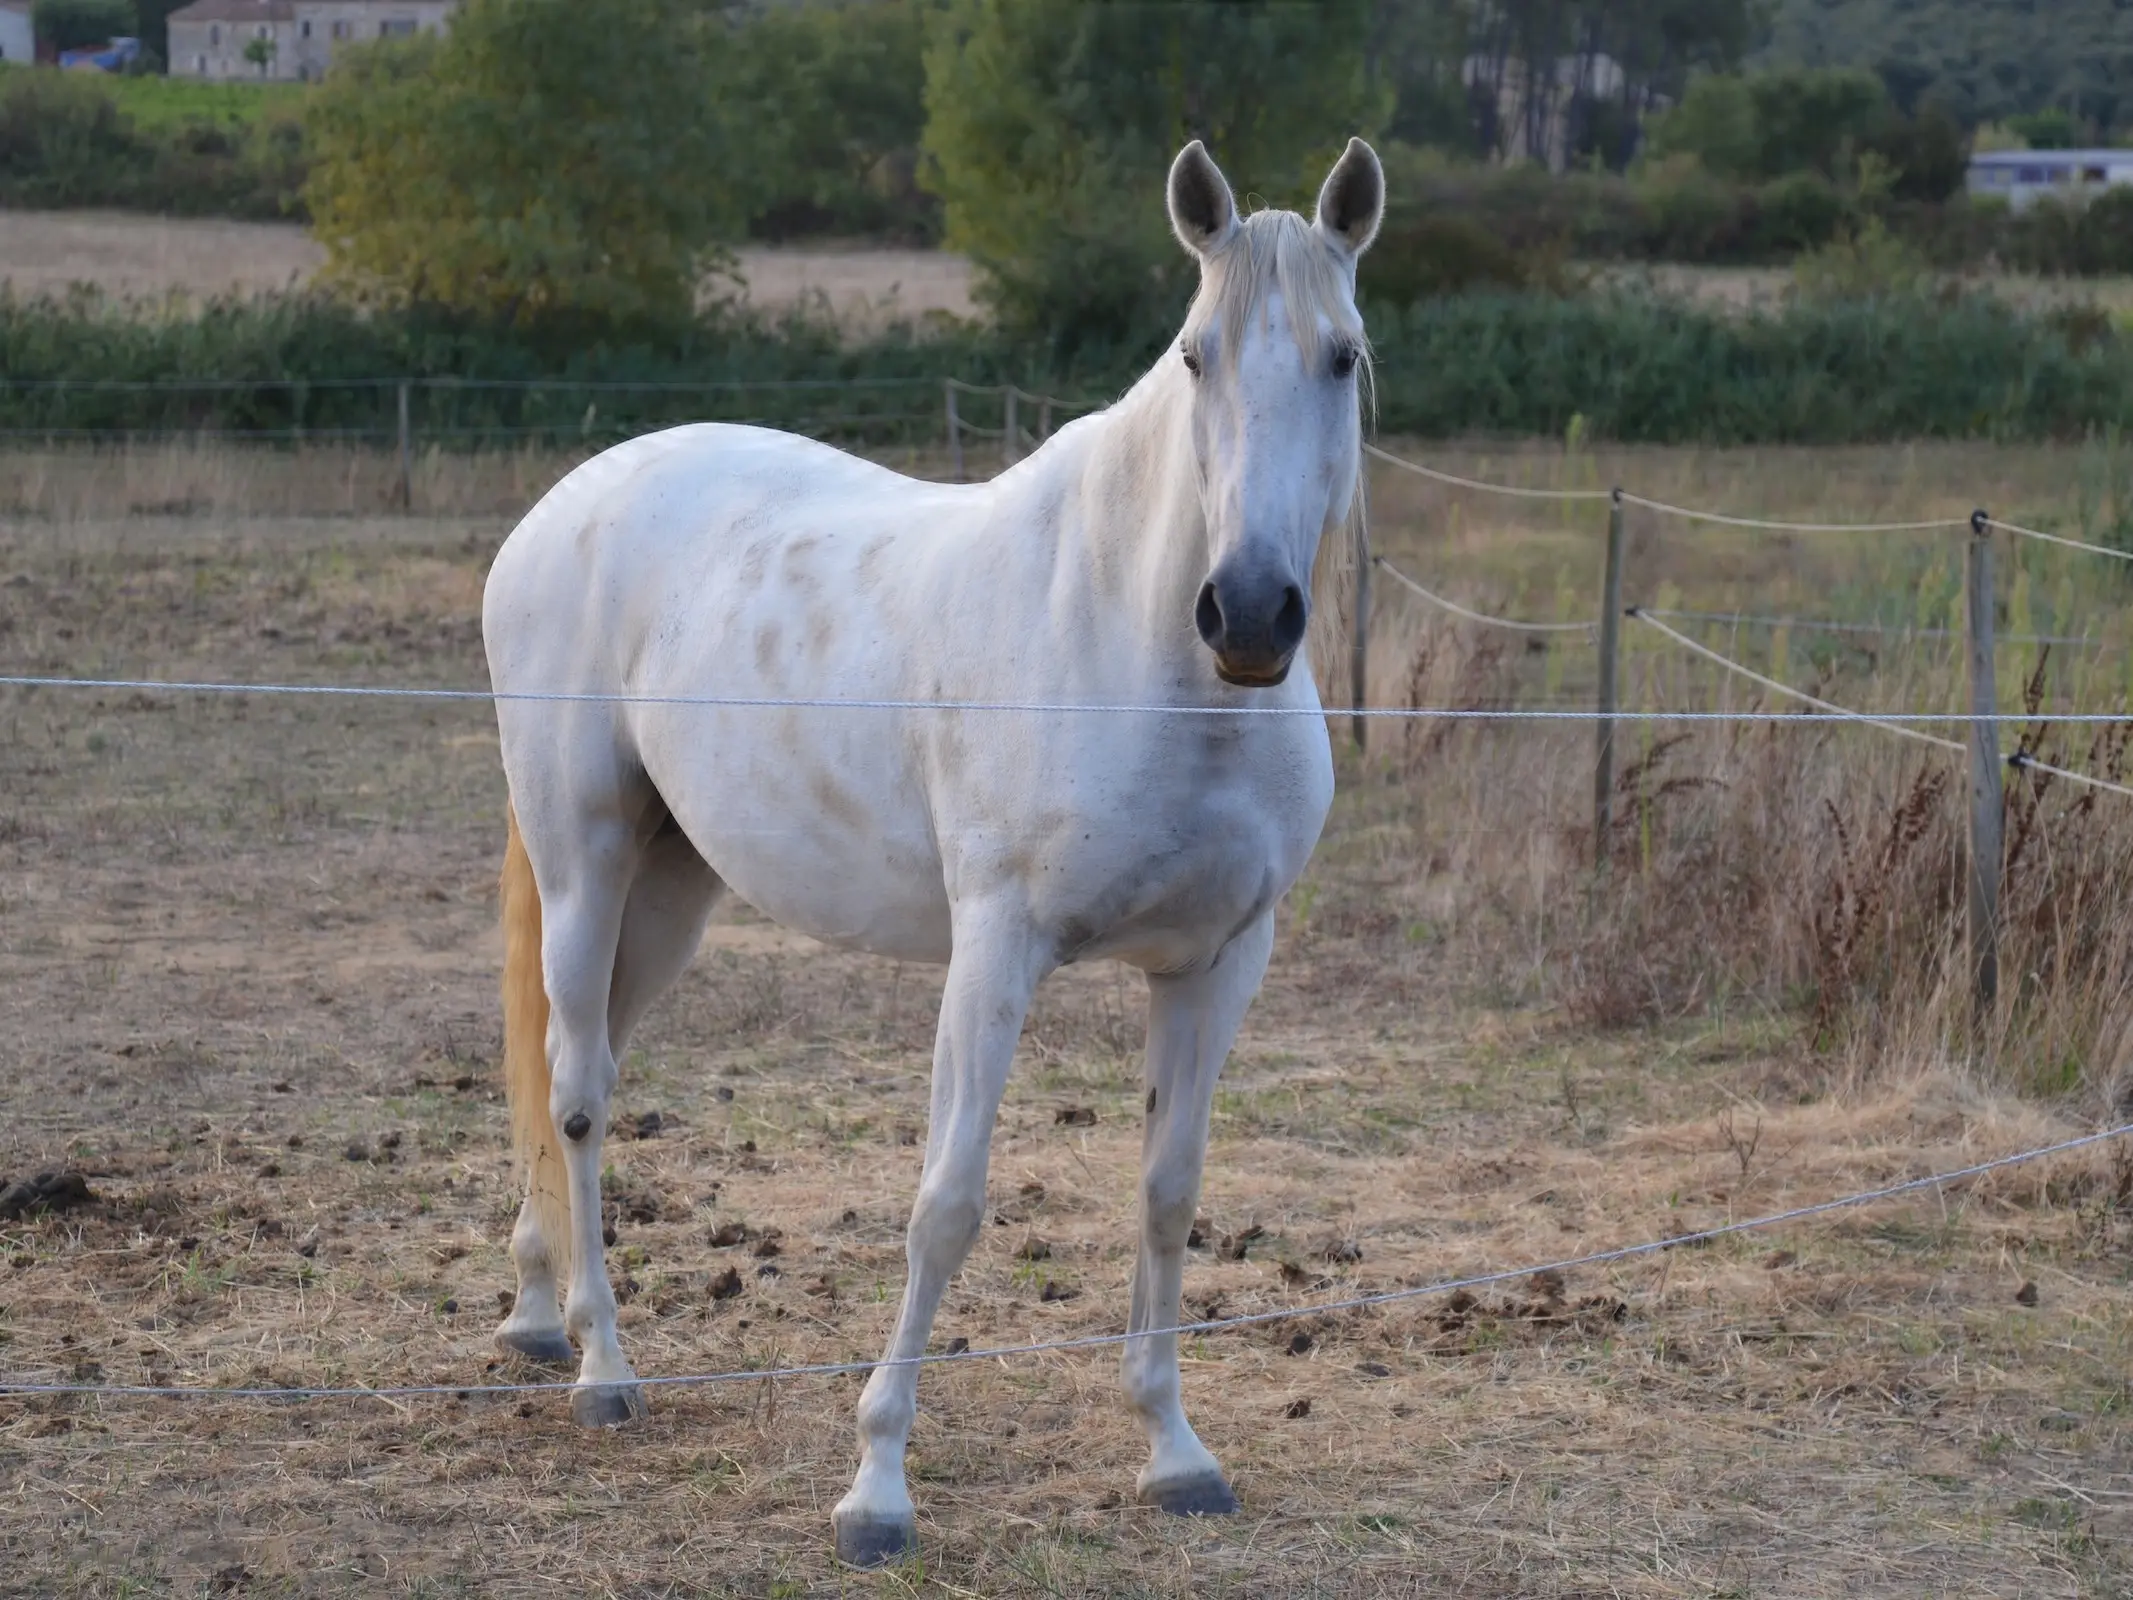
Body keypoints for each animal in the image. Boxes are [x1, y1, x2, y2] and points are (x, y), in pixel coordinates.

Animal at [482, 134, 1382, 1570]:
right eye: (1195, 354)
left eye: (1342, 355)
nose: (1248, 612)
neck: (1150, 660)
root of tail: (568, 504)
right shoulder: (996, 951)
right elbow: (946, 1203)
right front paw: (877, 1487)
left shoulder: (1216, 964)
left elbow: (1167, 1190)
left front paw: (1174, 1451)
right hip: (586, 866)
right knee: (575, 1091)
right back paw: (603, 1369)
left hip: (669, 896)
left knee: (572, 1068)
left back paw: (533, 1310)